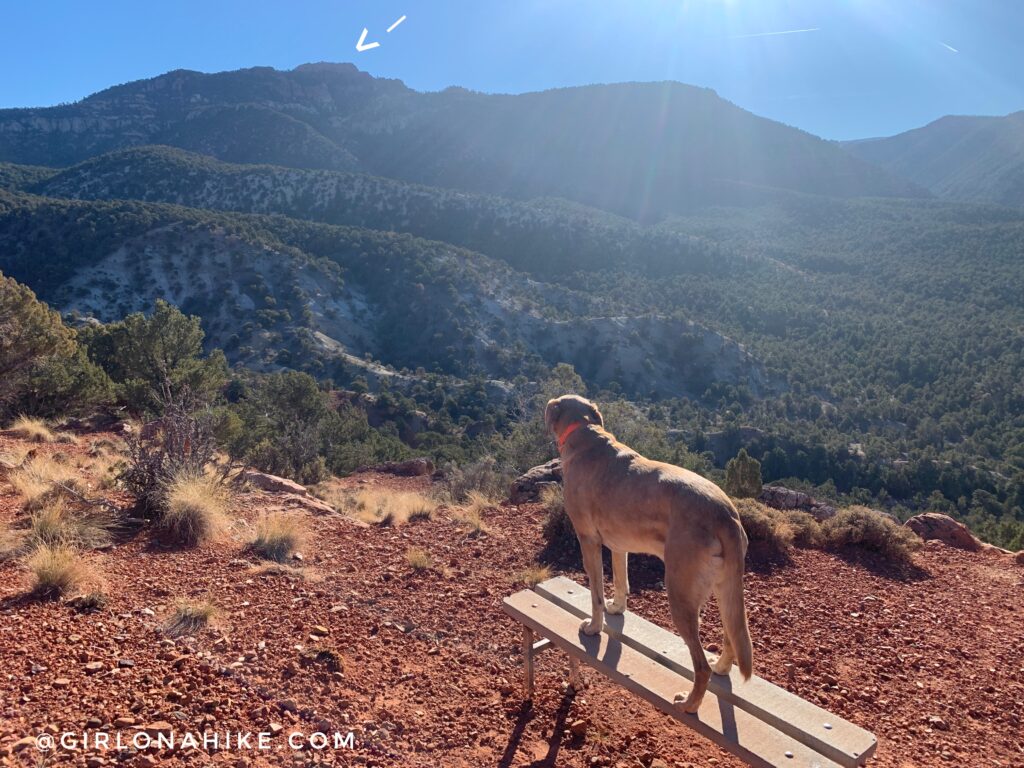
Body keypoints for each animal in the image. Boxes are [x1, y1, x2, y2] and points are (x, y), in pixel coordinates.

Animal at [544, 397, 753, 716]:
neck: (585, 430)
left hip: (681, 595)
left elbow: (595, 595)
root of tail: (726, 514)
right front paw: (617, 609)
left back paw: (689, 703)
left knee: (700, 666)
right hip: (724, 588)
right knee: (730, 637)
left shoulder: (588, 541)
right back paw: (721, 667)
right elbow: (620, 582)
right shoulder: (618, 545)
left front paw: (594, 627)